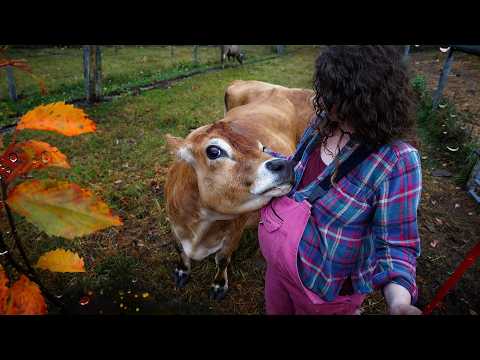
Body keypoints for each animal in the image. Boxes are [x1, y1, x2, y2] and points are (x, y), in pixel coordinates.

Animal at [165, 80, 316, 300]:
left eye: (262, 148)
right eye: (214, 151)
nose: (286, 164)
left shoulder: (235, 230)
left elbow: (222, 259)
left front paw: (219, 285)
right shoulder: (174, 223)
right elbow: (179, 249)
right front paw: (181, 271)